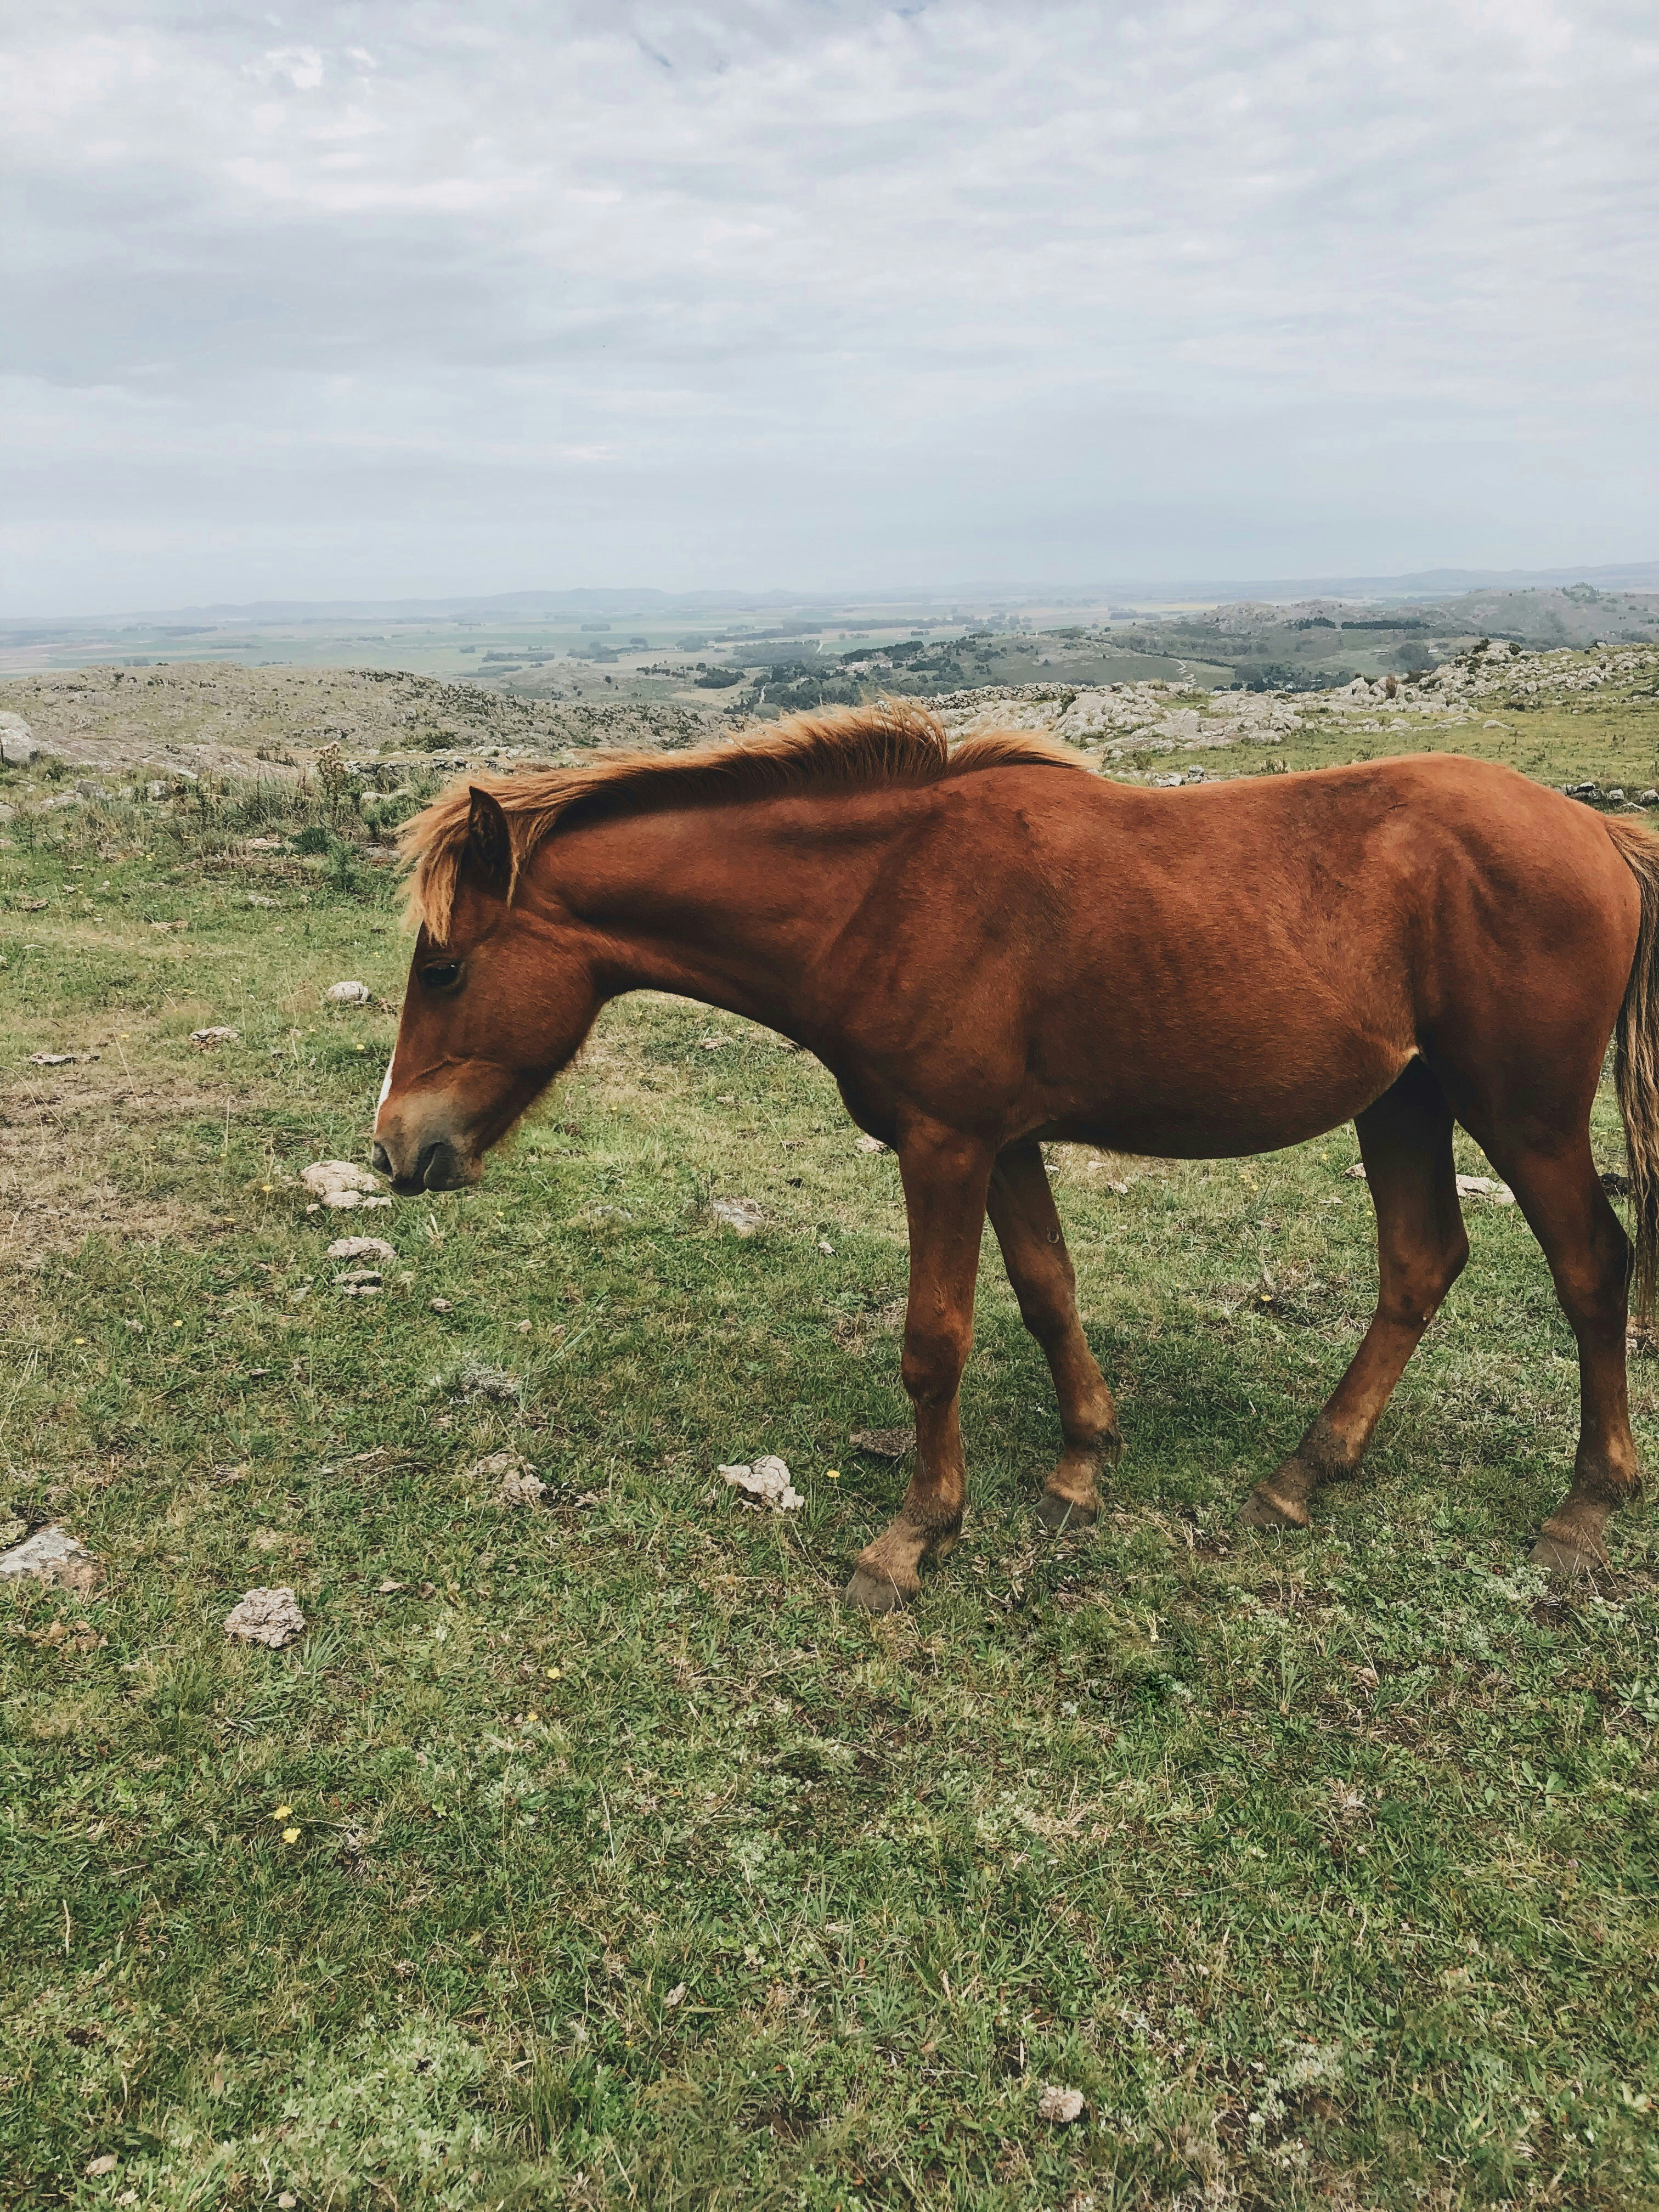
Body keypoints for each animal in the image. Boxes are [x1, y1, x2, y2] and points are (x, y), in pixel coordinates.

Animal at [373, 701, 1659, 1611]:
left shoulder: (945, 1143)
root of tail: (1593, 827)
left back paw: (1583, 1511)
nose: (396, 1150)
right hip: (1403, 1098)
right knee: (1419, 1263)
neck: (885, 893)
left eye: (444, 968)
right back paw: (1304, 1474)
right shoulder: (1006, 1142)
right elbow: (1047, 1293)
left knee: (1591, 1270)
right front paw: (1081, 1464)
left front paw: (912, 1537)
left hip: (1522, 1115)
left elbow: (933, 1342)